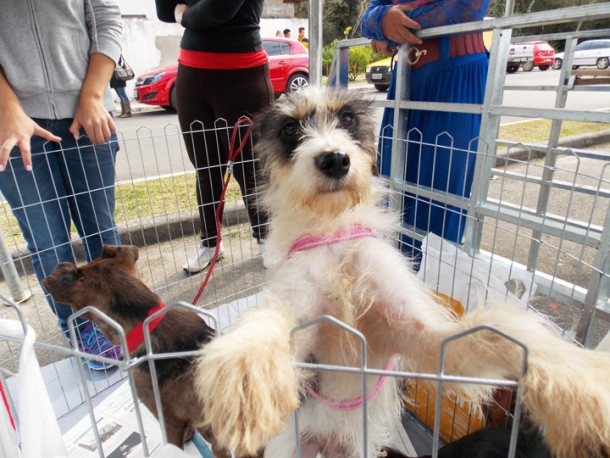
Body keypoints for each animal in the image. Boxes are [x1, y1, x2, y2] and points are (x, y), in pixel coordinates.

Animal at [192, 87, 608, 458]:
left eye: (348, 119)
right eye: (291, 129)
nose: (334, 159)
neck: (334, 233)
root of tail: (326, 440)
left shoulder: (423, 336)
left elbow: (498, 333)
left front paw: (578, 384)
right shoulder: (300, 315)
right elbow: (270, 322)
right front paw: (243, 366)